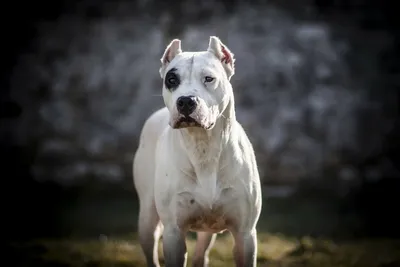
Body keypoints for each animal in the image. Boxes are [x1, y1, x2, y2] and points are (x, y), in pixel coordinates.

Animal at [133, 36, 260, 267]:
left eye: (209, 78)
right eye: (171, 79)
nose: (185, 101)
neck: (203, 147)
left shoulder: (245, 235)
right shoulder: (174, 233)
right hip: (147, 217)